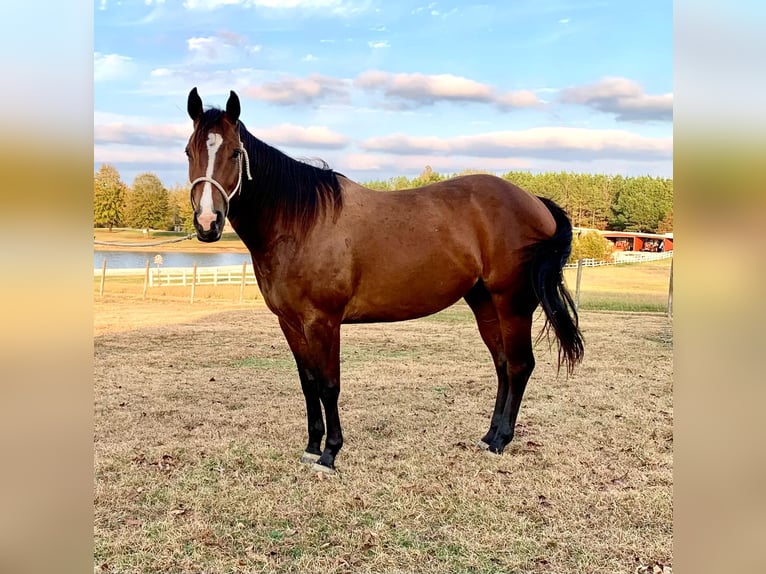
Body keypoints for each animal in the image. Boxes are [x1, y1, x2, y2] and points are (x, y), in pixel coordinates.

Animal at [184, 87, 584, 474]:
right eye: (189, 151)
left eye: (235, 152)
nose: (207, 222)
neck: (301, 223)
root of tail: (534, 200)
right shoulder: (291, 323)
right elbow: (308, 383)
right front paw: (312, 448)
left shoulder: (323, 322)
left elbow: (329, 385)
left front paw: (330, 454)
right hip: (484, 302)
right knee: (502, 365)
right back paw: (488, 436)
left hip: (512, 303)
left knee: (519, 365)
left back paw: (501, 440)